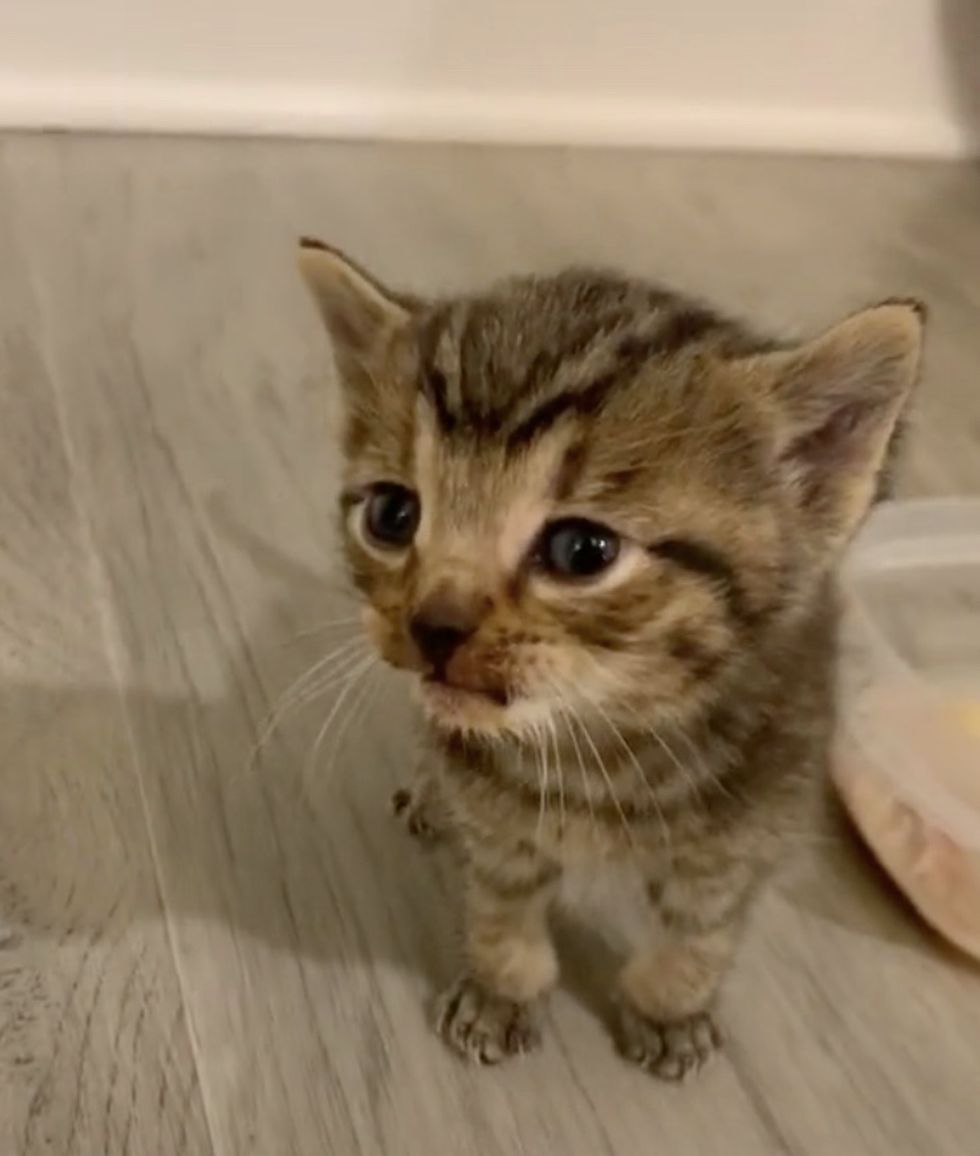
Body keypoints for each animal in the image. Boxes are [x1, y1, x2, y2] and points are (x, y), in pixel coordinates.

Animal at [294, 239, 924, 1077]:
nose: (431, 625)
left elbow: (699, 935)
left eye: (582, 551)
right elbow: (502, 912)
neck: (603, 748)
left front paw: (669, 1008)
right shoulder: (497, 826)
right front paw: (503, 992)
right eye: (393, 515)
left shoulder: (743, 836)